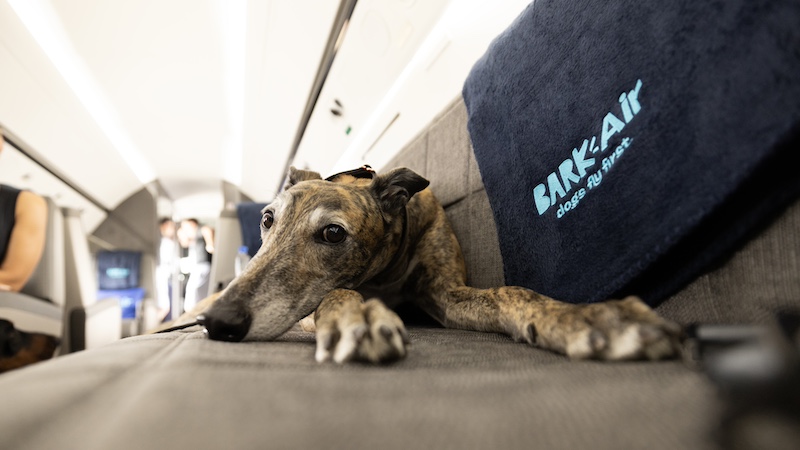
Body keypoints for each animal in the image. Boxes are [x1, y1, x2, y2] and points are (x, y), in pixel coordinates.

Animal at [194, 167, 680, 364]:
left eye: (333, 233)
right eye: (267, 219)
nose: (218, 321)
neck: (385, 271)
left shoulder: (446, 293)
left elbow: (510, 291)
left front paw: (588, 317)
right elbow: (338, 291)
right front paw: (359, 318)